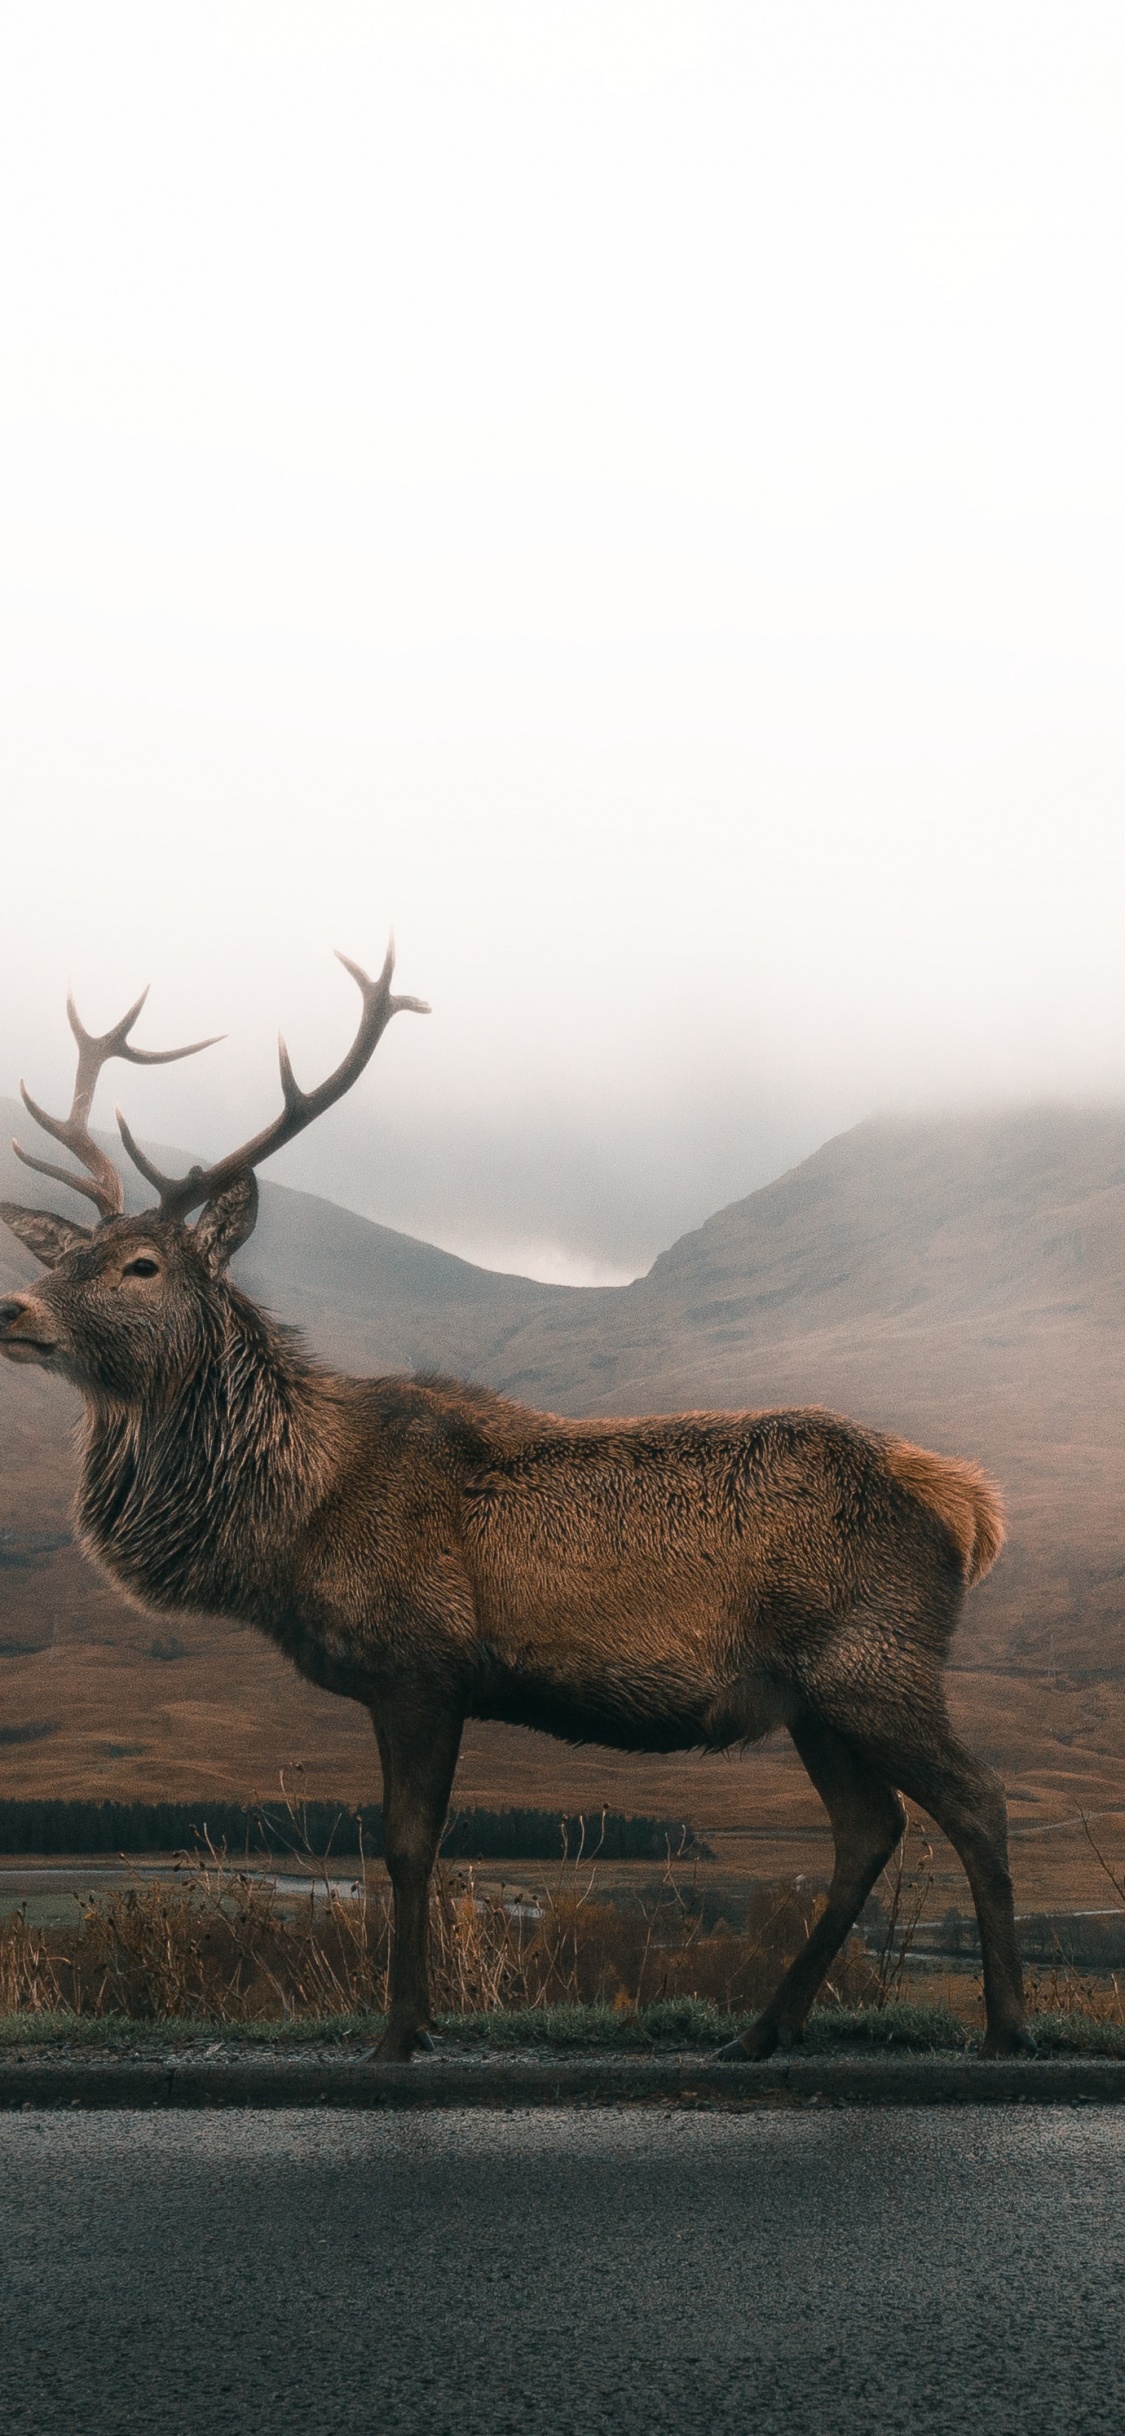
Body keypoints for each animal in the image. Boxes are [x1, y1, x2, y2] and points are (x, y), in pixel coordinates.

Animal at [0, 949, 1031, 2061]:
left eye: (142, 1265)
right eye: (57, 1258)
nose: (13, 1308)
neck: (291, 1523)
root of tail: (968, 1506)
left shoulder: (422, 1663)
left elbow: (409, 1849)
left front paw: (398, 2032)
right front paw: (419, 2017)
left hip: (875, 1661)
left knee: (975, 1798)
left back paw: (1005, 2025)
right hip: (811, 1695)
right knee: (869, 1828)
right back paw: (762, 2030)